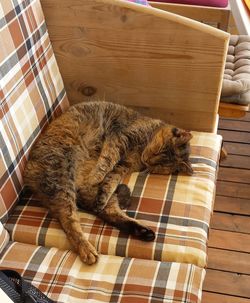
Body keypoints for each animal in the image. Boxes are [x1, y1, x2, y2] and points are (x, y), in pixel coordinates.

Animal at [23, 101, 193, 264]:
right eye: (158, 151)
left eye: (159, 166)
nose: (148, 161)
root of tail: (27, 172)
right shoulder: (121, 138)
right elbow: (106, 161)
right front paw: (96, 175)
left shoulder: (122, 167)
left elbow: (110, 180)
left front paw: (100, 181)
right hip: (61, 177)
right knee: (68, 220)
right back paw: (87, 249)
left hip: (82, 191)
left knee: (106, 210)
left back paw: (142, 231)